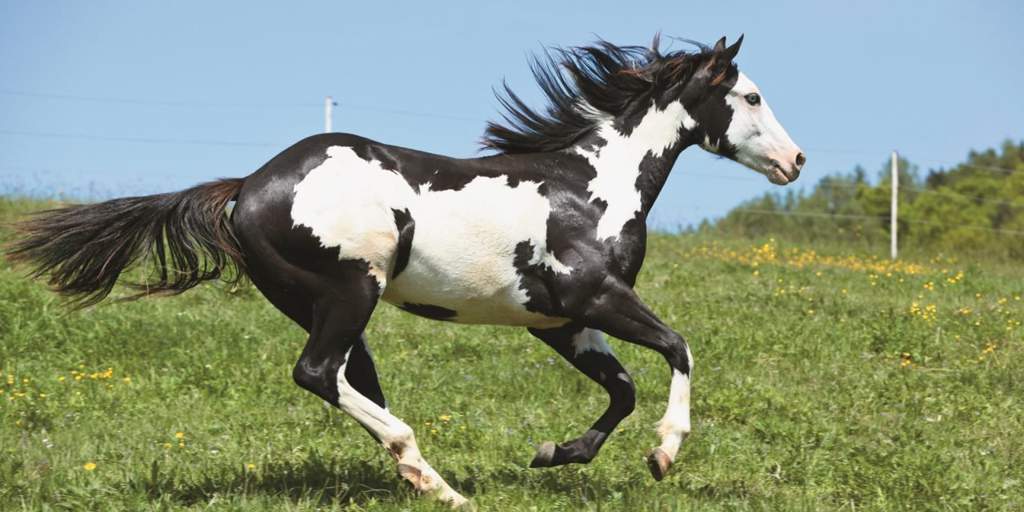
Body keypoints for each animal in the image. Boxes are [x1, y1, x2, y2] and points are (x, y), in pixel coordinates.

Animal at [8, 34, 803, 507]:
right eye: (751, 97)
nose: (795, 161)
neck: (590, 187)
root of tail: (247, 186)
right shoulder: (594, 296)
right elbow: (678, 349)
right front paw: (664, 455)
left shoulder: (558, 320)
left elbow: (624, 387)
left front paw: (556, 453)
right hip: (349, 292)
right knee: (318, 374)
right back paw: (433, 477)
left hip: (325, 306)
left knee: (346, 382)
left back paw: (420, 476)